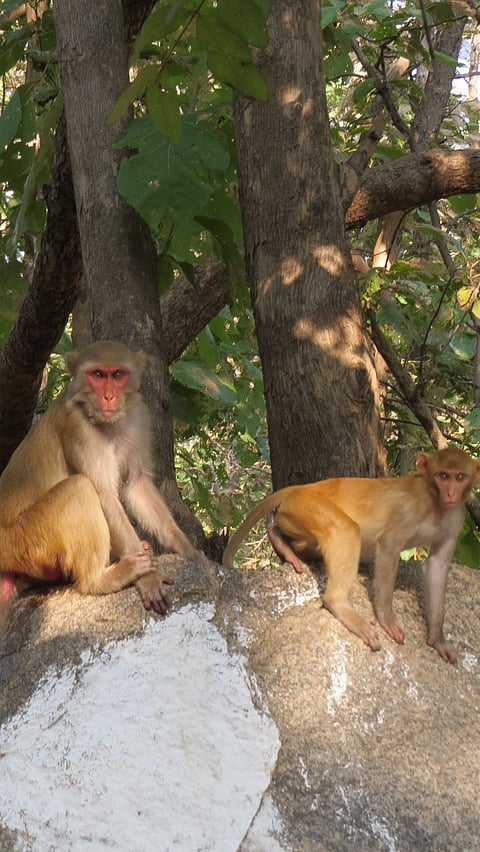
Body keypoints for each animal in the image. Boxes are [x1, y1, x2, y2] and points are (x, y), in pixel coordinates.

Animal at [0, 340, 202, 621]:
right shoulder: (78, 427)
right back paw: (101, 580)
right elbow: (105, 495)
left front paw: (189, 551)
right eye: (97, 375)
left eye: (117, 375)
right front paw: (149, 579)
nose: (108, 396)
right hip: (24, 541)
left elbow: (136, 484)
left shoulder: (139, 414)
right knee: (79, 488)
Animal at [223, 447, 480, 663]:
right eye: (443, 476)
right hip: (309, 505)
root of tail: (303, 487)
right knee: (345, 530)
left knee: (310, 539)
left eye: (460, 477)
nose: (451, 493)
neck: (434, 502)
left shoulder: (455, 519)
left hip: (298, 514)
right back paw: (340, 605)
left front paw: (437, 639)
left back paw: (282, 541)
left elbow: (438, 565)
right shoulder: (408, 511)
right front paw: (387, 619)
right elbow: (388, 545)